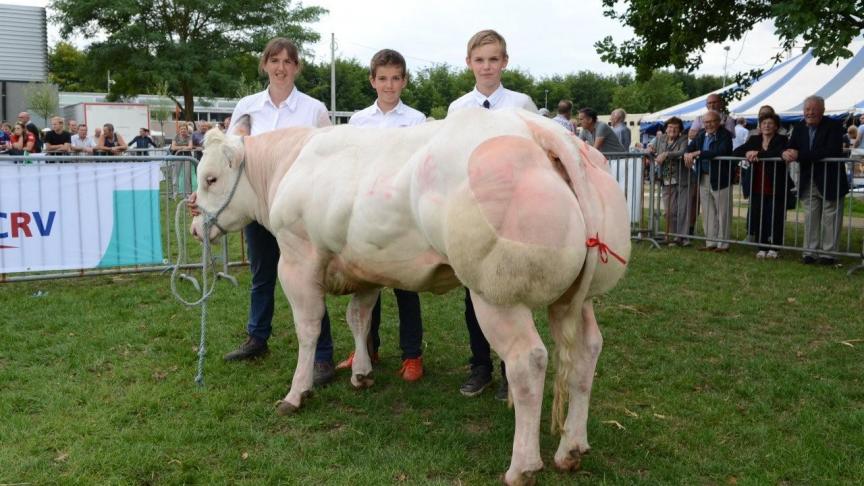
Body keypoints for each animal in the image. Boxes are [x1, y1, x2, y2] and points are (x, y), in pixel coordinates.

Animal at [192, 108, 632, 484]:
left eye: (210, 178)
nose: (196, 226)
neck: (288, 165)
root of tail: (540, 130)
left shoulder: (297, 258)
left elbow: (309, 328)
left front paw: (297, 393)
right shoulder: (364, 265)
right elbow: (359, 317)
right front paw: (361, 372)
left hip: (496, 292)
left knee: (528, 361)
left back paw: (521, 467)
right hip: (579, 296)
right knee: (588, 350)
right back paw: (572, 448)